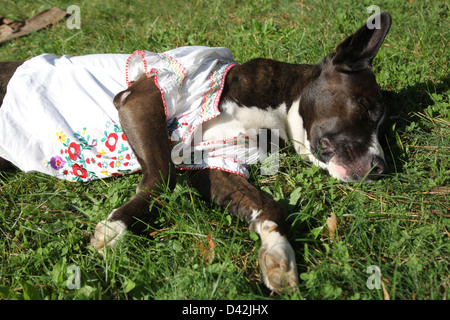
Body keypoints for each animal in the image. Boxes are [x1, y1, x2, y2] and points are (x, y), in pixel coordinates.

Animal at [0, 11, 390, 292]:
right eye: (366, 107)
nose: (381, 167)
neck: (276, 108)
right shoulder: (142, 97)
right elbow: (162, 177)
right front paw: (116, 228)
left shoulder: (216, 162)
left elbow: (267, 206)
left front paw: (278, 253)